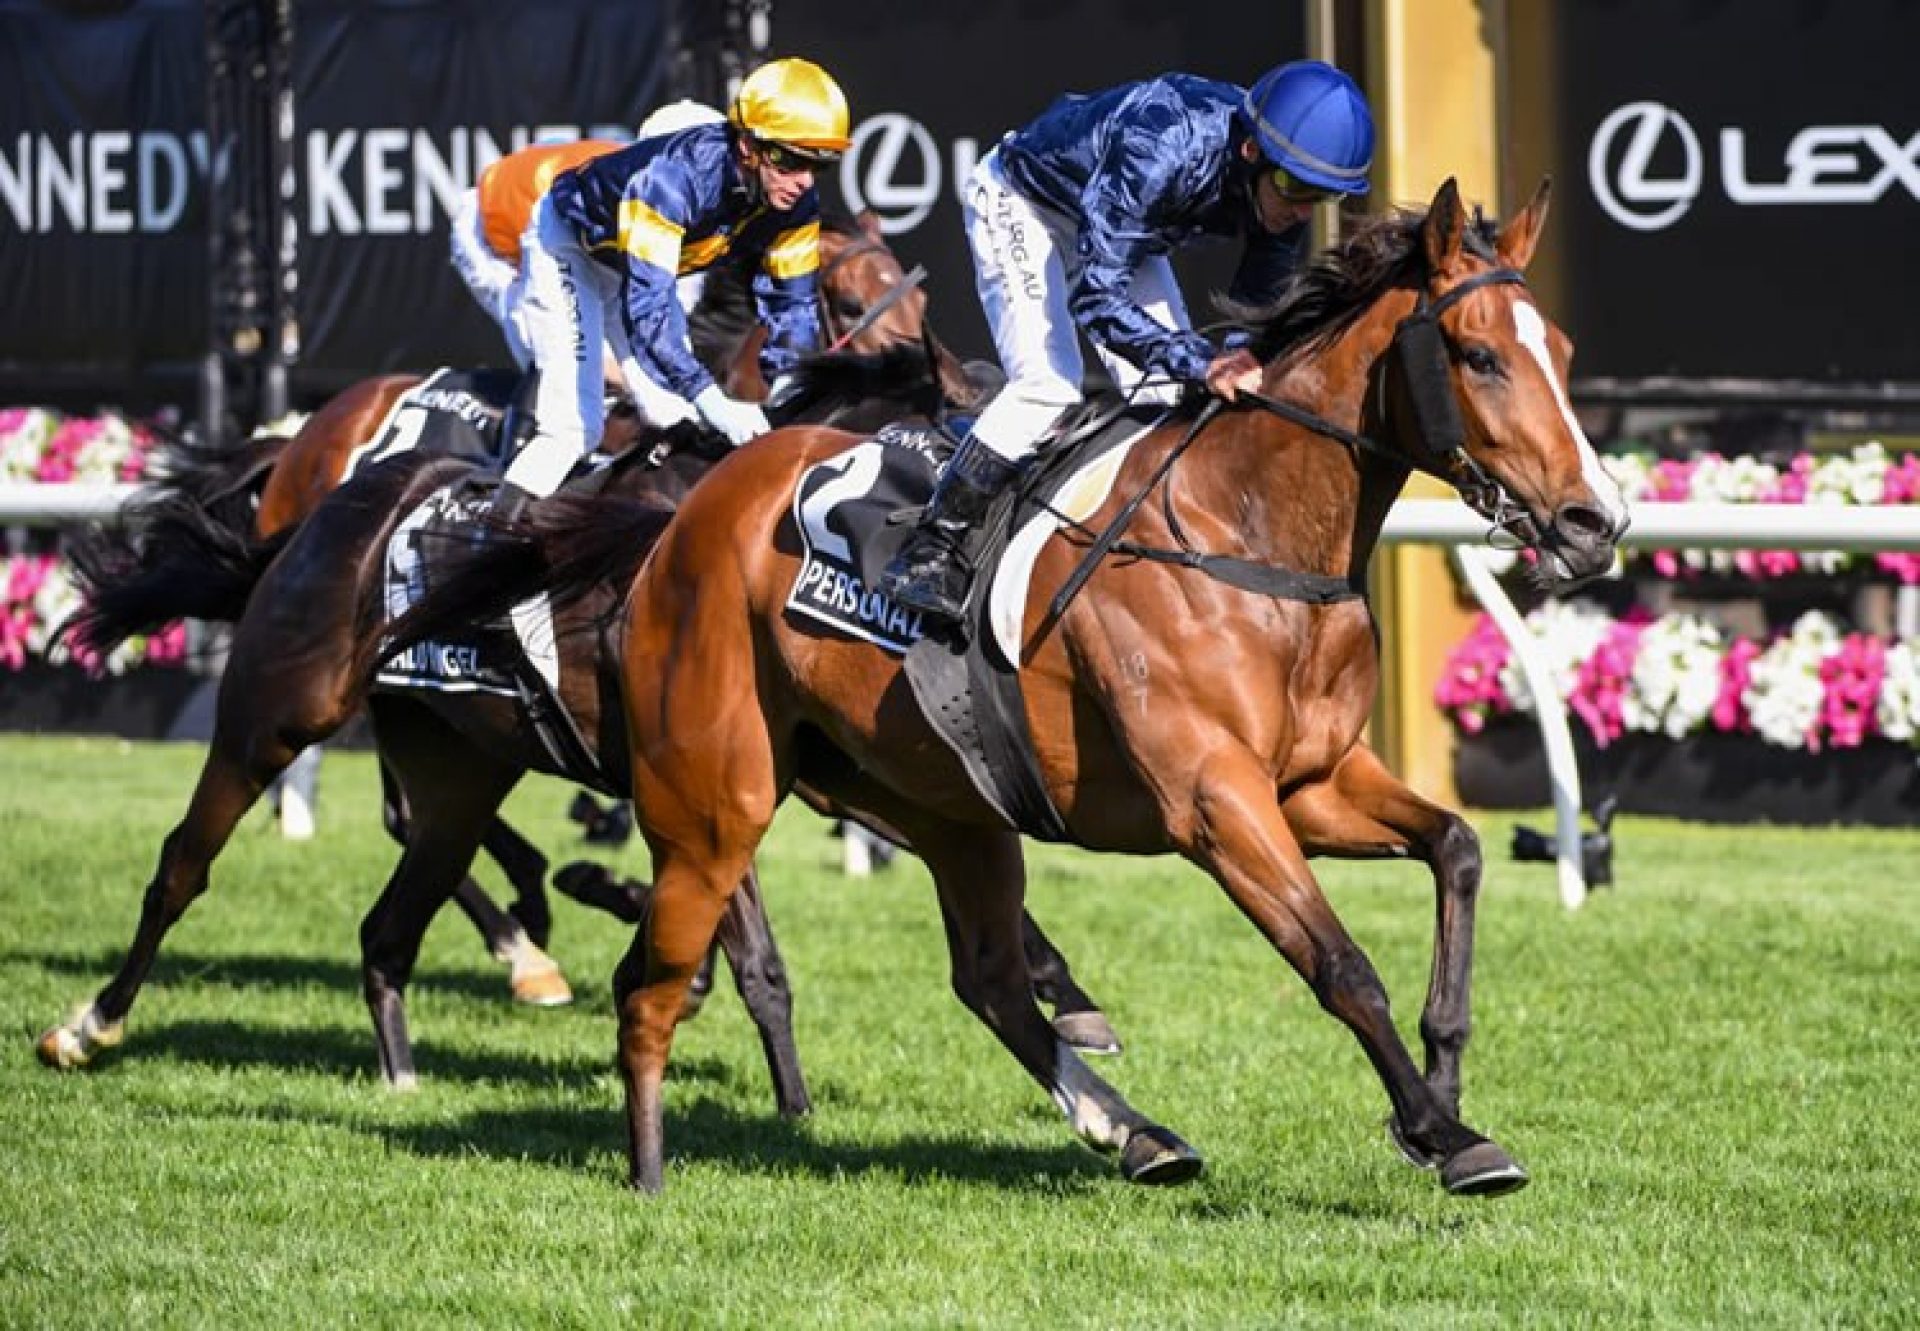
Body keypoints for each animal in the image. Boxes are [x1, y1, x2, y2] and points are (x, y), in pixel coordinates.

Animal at [408, 179, 1620, 1190]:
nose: (1593, 519)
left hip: (944, 799)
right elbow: (1338, 962)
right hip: (717, 799)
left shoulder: (1311, 781)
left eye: (1560, 347)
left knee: (987, 976)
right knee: (651, 975)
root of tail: (681, 518)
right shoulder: (1216, 800)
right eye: (1477, 356)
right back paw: (650, 1166)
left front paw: (1441, 1083)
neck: (1246, 534)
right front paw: (1451, 1137)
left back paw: (1137, 1131)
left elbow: (1457, 847)